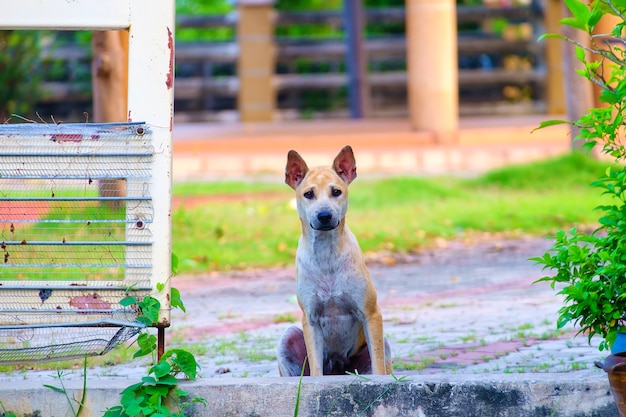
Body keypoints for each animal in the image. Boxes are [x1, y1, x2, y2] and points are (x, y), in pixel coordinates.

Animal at [274, 145, 388, 376]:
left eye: (336, 191)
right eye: (308, 194)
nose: (324, 215)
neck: (326, 253)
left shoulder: (371, 314)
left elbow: (378, 364)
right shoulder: (310, 319)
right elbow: (316, 368)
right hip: (288, 338)